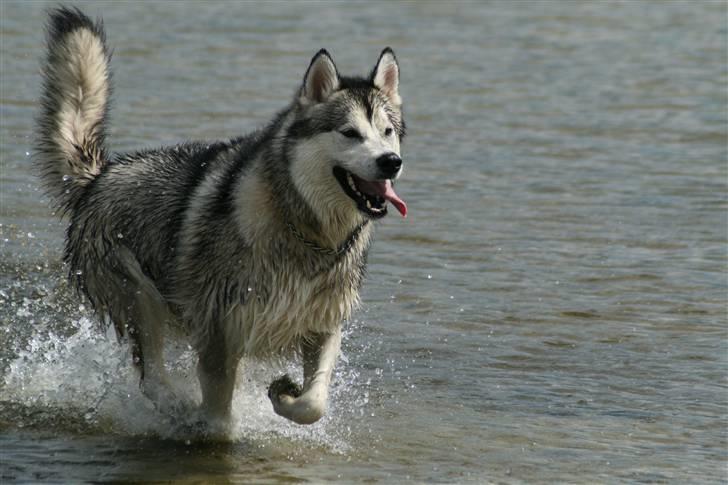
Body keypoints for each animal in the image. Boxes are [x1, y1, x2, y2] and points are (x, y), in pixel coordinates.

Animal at [34, 5, 406, 426]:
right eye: (349, 133)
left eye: (387, 132)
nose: (391, 162)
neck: (304, 231)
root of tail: (101, 175)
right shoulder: (218, 327)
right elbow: (218, 412)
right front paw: (211, 423)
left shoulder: (323, 323)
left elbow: (313, 404)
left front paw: (284, 394)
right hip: (138, 296)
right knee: (150, 377)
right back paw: (176, 406)